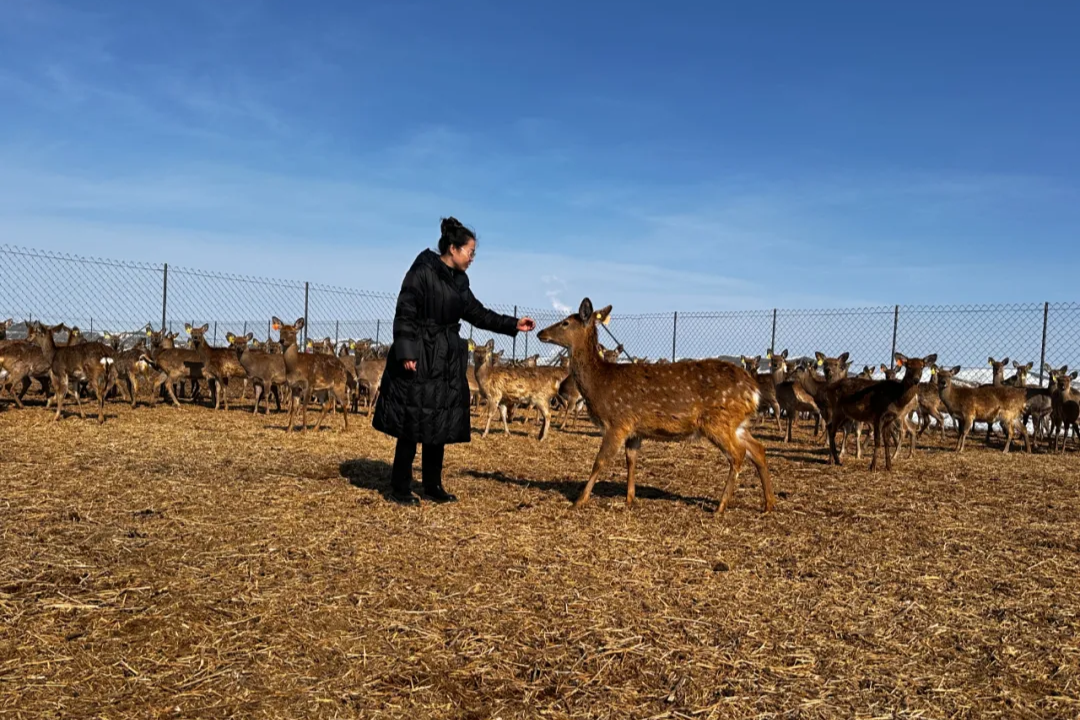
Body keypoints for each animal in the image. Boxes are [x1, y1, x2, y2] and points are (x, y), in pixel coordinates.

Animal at [535, 297, 773, 511]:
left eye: (565, 322)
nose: (540, 333)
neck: (599, 383)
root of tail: (753, 390)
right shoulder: (635, 429)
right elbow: (631, 460)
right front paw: (629, 499)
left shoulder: (617, 421)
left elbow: (600, 461)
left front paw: (579, 500)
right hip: (737, 423)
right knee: (758, 449)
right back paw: (769, 504)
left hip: (717, 420)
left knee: (738, 454)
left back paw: (721, 507)